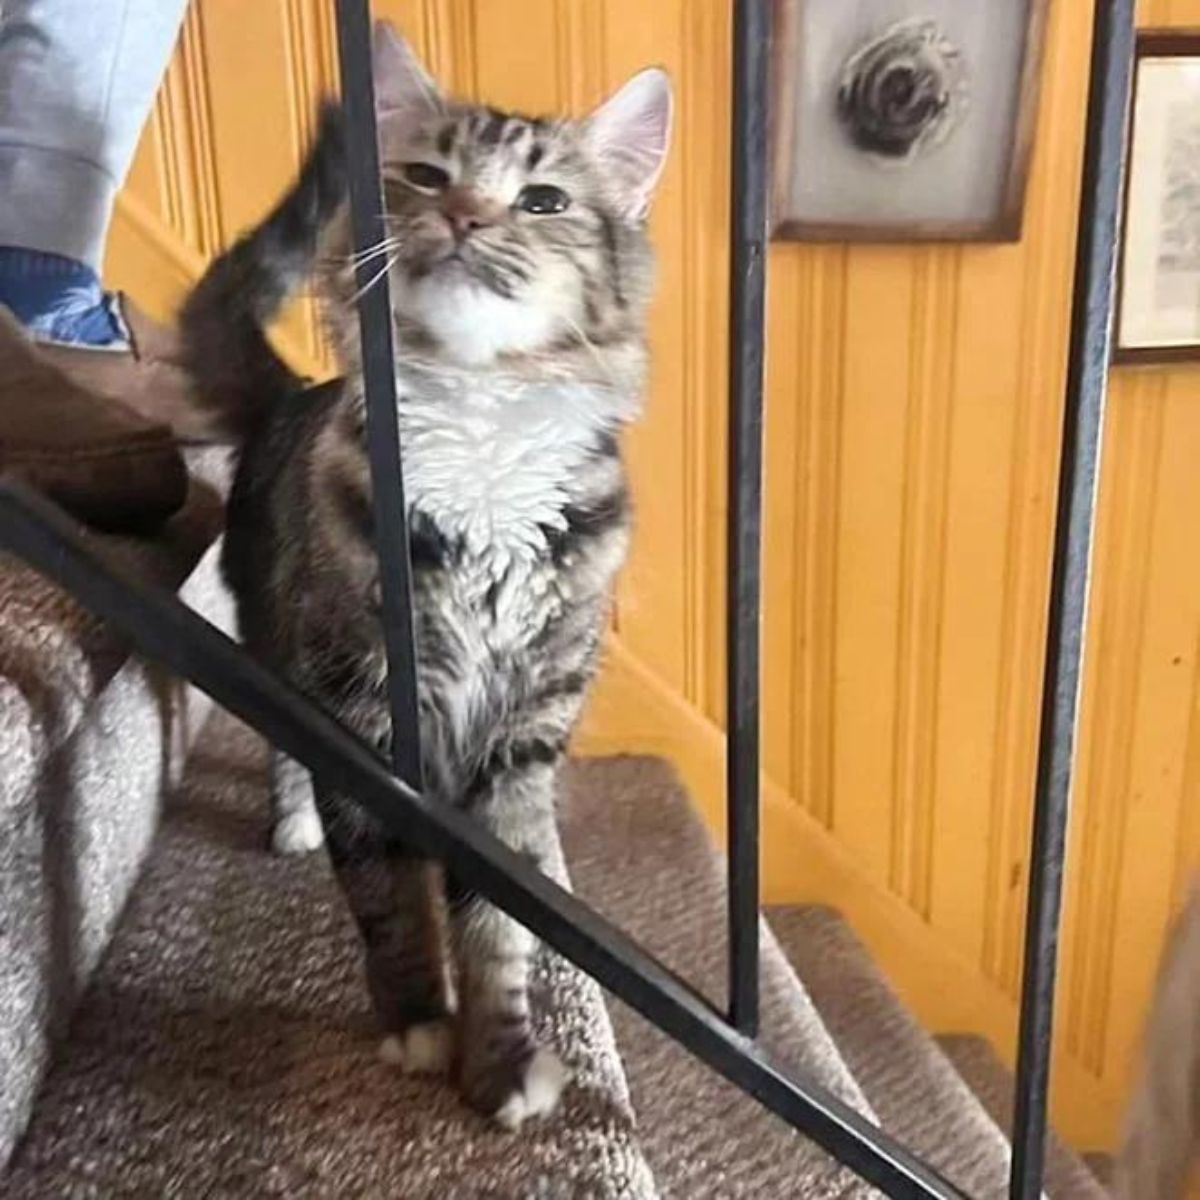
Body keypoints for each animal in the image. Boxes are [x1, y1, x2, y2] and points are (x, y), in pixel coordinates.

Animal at [180, 16, 676, 1123]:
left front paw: (499, 1061)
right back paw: (289, 823)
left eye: (543, 201)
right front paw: (416, 1021)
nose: (462, 213)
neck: (482, 431)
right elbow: (387, 893)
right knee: (282, 752)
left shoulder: (523, 731)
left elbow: (497, 925)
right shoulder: (361, 711)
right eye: (424, 175)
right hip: (279, 647)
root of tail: (290, 395)